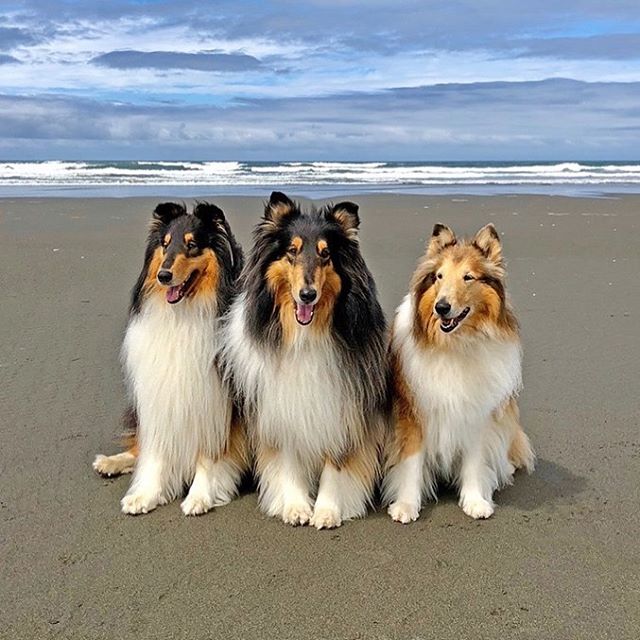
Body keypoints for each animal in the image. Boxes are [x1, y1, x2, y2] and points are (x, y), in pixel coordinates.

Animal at [94, 202, 249, 516]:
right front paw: (145, 495)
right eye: (165, 245)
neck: (185, 313)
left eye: (191, 245)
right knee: (139, 446)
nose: (163, 276)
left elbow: (208, 456)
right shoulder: (161, 396)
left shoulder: (214, 401)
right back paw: (110, 462)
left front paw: (200, 496)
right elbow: (155, 453)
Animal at [220, 191, 390, 528]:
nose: (307, 295)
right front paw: (296, 507)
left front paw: (327, 510)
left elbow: (335, 467)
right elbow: (288, 462)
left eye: (325, 254)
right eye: (292, 251)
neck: (305, 336)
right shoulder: (281, 409)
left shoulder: (343, 411)